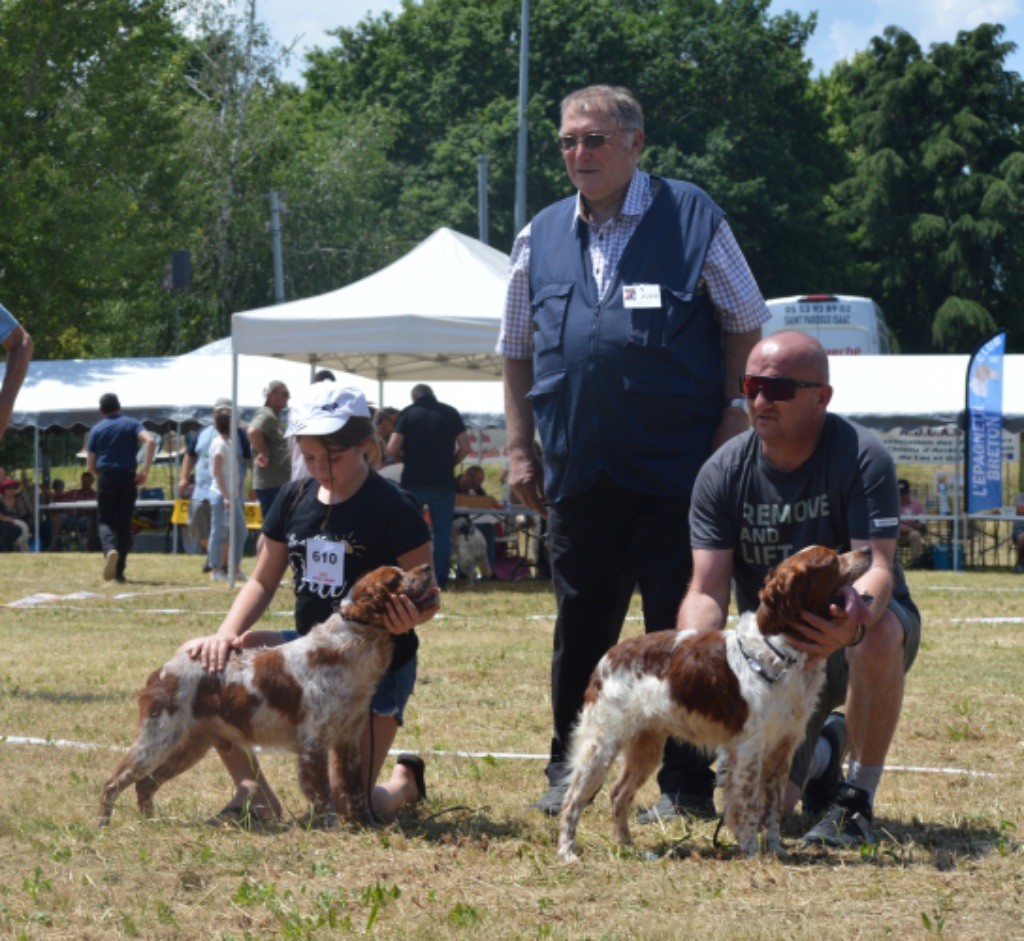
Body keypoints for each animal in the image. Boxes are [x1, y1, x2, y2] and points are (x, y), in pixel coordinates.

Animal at [97, 561, 442, 827]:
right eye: (396, 578)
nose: (428, 566)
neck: (352, 646)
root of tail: (161, 671)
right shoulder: (314, 743)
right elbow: (323, 796)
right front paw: (330, 828)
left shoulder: (349, 741)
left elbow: (355, 791)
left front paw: (368, 824)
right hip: (157, 740)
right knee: (114, 782)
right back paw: (103, 825)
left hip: (188, 746)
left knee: (145, 785)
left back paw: (153, 822)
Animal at [557, 544, 868, 860]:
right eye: (831, 560)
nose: (867, 550)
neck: (780, 649)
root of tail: (608, 656)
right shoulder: (749, 748)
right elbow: (749, 805)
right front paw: (751, 852)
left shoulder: (781, 749)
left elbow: (772, 809)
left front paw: (776, 849)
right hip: (603, 743)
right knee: (572, 799)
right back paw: (567, 852)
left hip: (646, 747)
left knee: (618, 794)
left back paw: (627, 845)